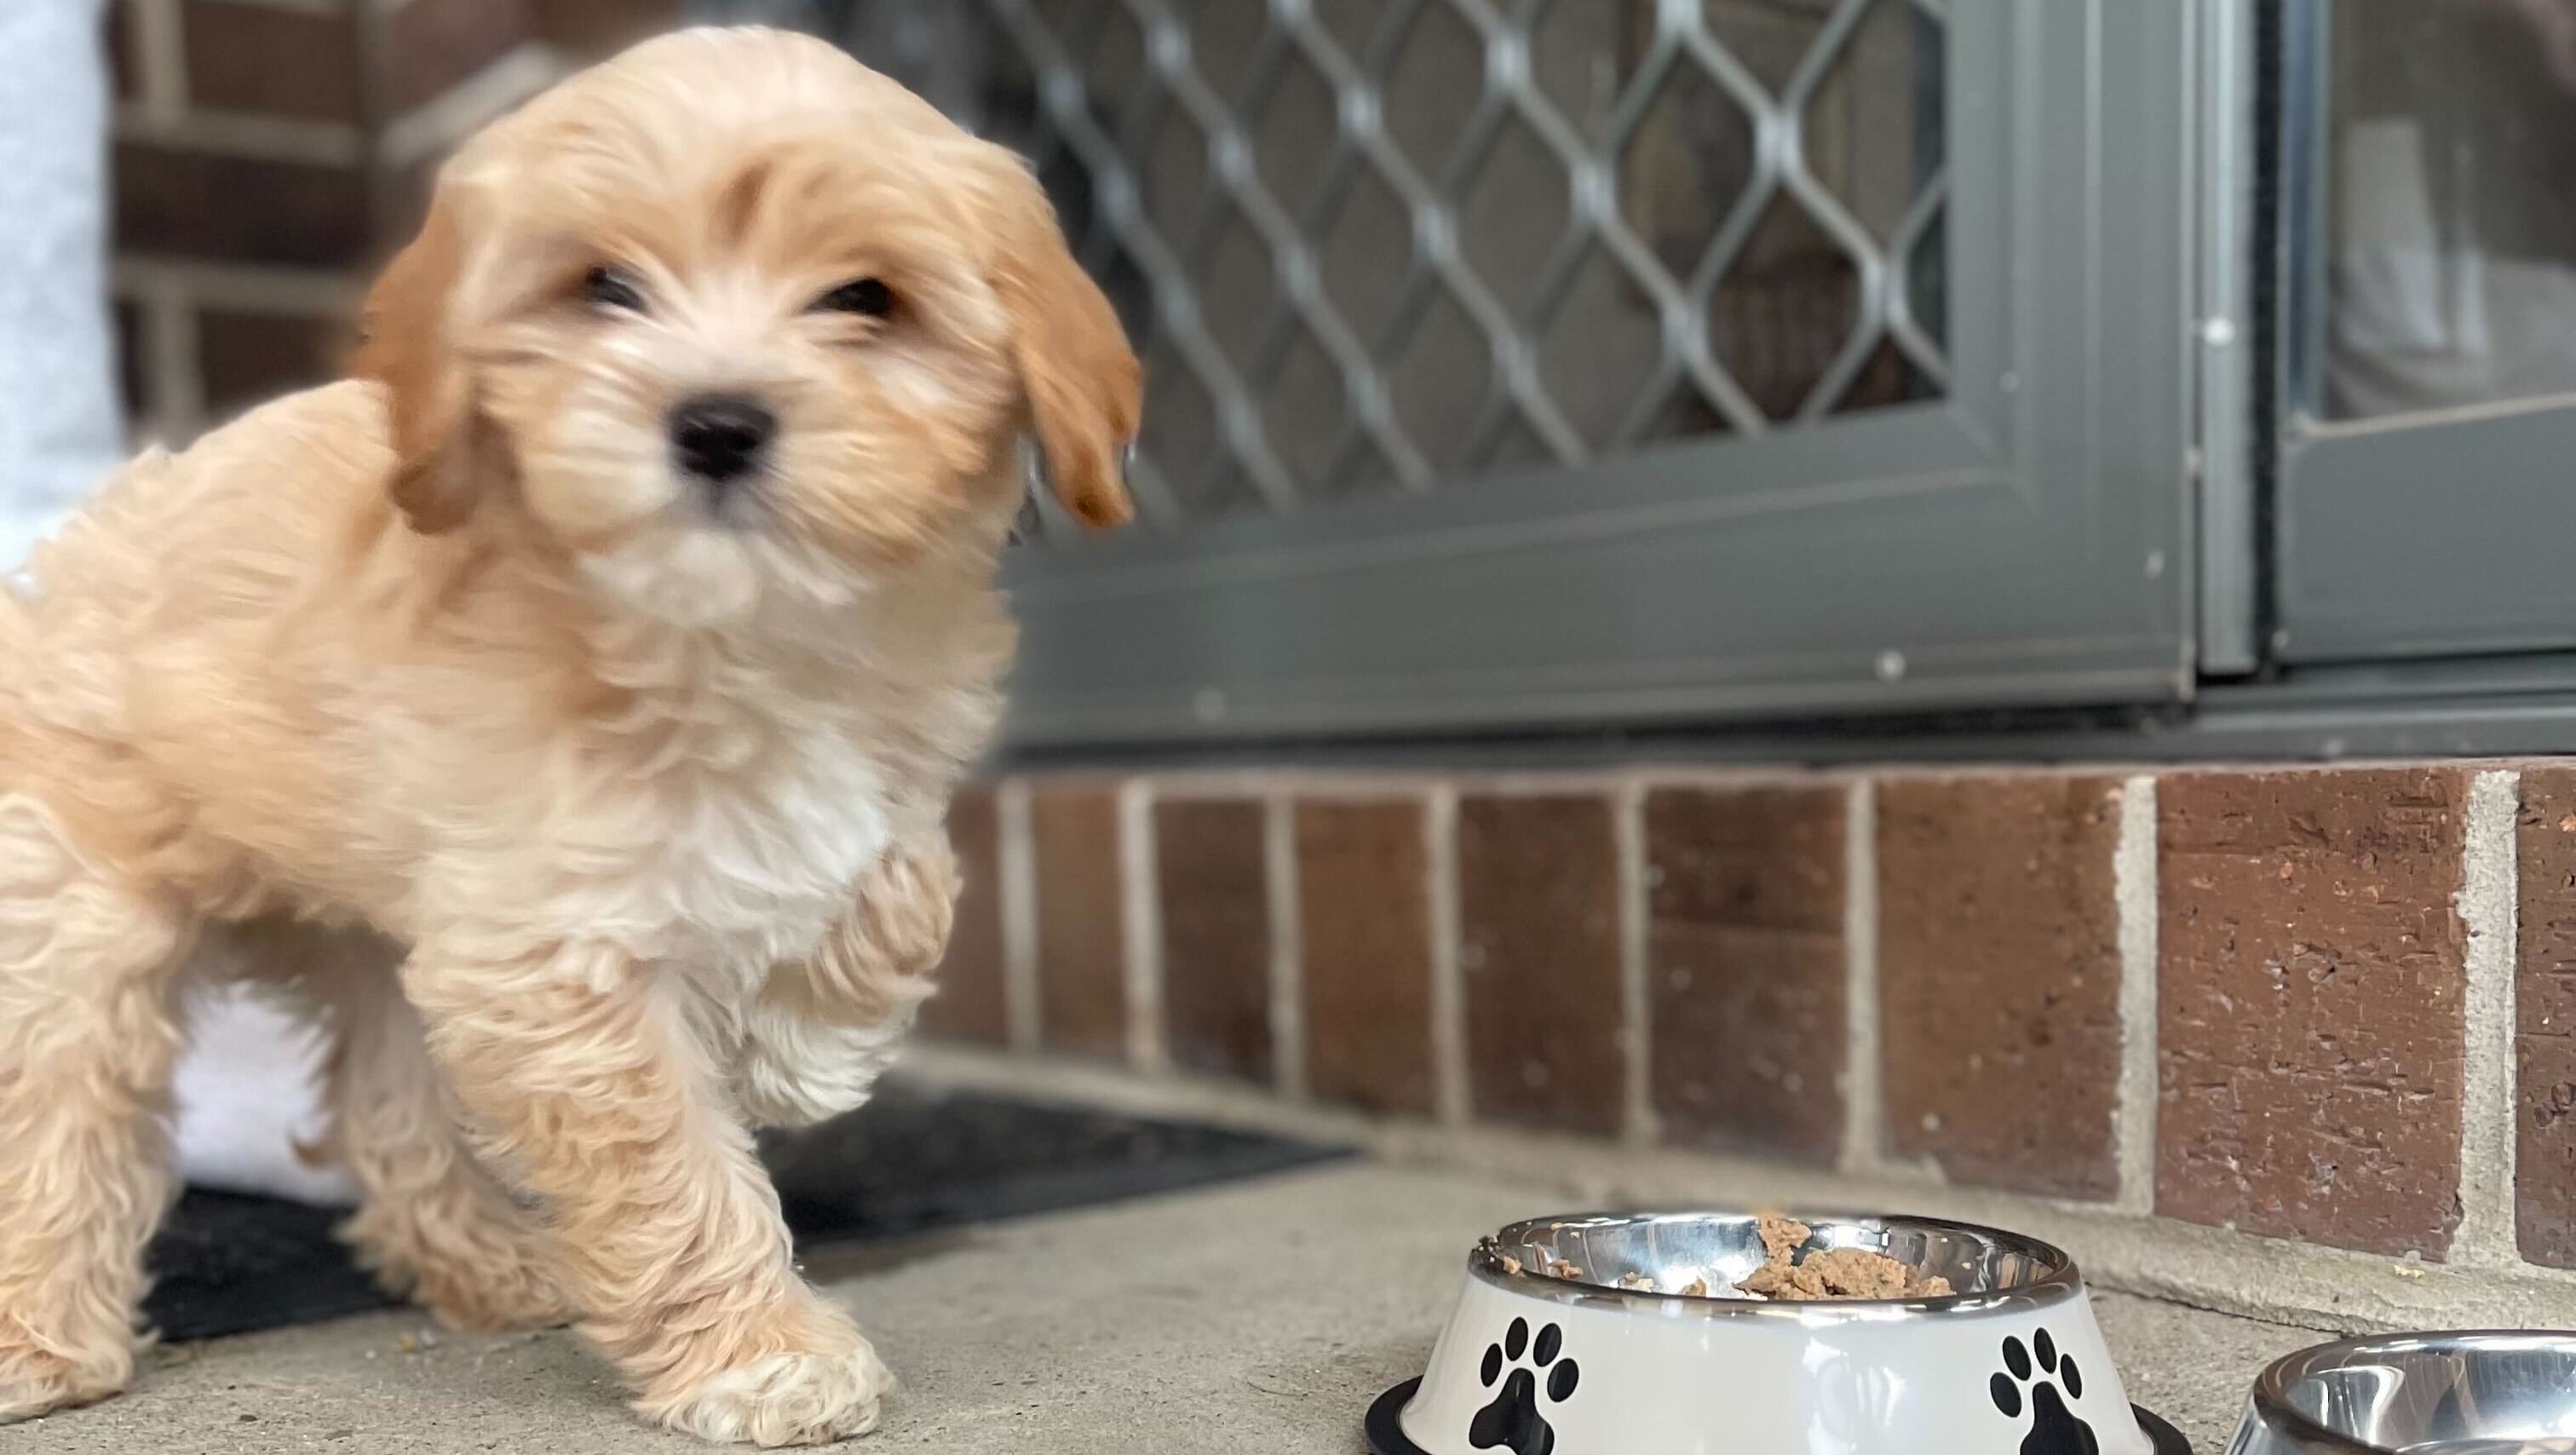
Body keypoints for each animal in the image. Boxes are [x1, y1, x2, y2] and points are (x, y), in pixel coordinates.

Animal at [0, 27, 1137, 1446]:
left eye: (867, 297)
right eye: (606, 287)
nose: (716, 422)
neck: (734, 635)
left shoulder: (878, 776)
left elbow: (901, 886)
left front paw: (802, 1053)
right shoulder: (551, 944)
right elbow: (667, 1158)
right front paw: (761, 1354)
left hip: (380, 934)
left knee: (388, 1099)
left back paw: (488, 1262)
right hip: (80, 905)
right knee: (60, 1106)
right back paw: (40, 1339)